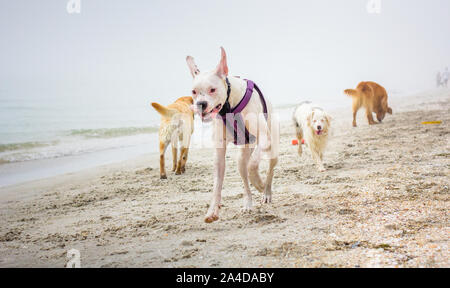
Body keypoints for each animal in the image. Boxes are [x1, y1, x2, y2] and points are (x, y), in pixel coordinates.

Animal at [185, 46, 278, 223]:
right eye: (193, 92)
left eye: (212, 90)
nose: (201, 104)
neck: (229, 105)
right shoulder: (219, 153)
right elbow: (217, 183)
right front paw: (212, 211)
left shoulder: (264, 138)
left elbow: (253, 164)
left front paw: (259, 182)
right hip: (242, 157)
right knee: (244, 175)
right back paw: (248, 203)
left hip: (272, 150)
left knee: (268, 170)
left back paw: (266, 191)